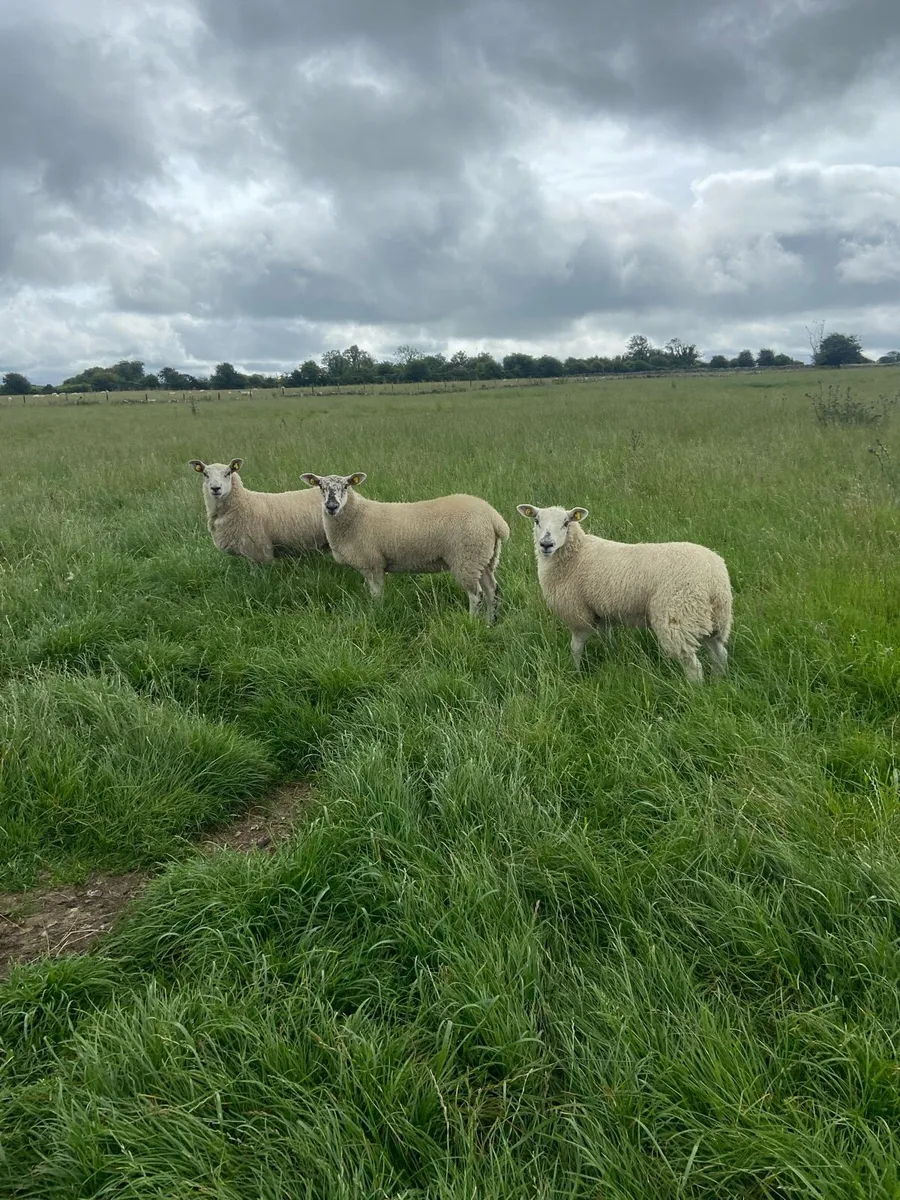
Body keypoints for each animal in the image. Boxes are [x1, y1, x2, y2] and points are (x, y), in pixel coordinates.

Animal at [300, 471, 509, 621]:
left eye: (346, 485)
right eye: (320, 486)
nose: (331, 506)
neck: (356, 517)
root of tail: (494, 518)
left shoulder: (373, 563)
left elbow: (376, 595)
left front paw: (377, 614)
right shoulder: (371, 565)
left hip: (467, 558)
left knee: (477, 595)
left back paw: (472, 622)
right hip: (485, 558)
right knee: (492, 591)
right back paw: (490, 623)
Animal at [516, 504, 732, 682]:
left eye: (566, 523)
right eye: (536, 520)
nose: (546, 544)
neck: (576, 555)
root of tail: (715, 578)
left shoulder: (578, 614)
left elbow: (576, 647)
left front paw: (575, 673)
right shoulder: (602, 611)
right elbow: (607, 638)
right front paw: (612, 657)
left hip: (678, 616)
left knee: (693, 665)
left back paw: (692, 691)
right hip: (715, 619)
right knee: (719, 654)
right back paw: (719, 682)